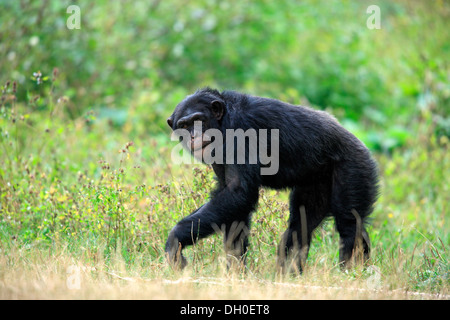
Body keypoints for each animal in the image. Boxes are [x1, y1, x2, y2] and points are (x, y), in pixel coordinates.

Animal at [163, 88, 378, 272]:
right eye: (184, 125)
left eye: (198, 119)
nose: (193, 135)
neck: (222, 123)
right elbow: (233, 205)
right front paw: (236, 272)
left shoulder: (239, 130)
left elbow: (238, 193)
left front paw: (175, 239)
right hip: (316, 184)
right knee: (300, 227)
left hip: (354, 167)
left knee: (350, 225)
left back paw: (352, 274)